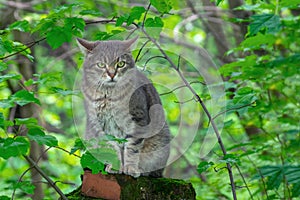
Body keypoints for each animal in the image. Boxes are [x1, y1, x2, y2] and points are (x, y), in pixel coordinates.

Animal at [77, 36, 170, 177]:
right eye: (101, 65)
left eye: (121, 64)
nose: (111, 74)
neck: (108, 95)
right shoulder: (101, 124)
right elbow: (113, 147)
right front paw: (116, 166)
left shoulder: (138, 118)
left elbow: (132, 147)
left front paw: (130, 168)